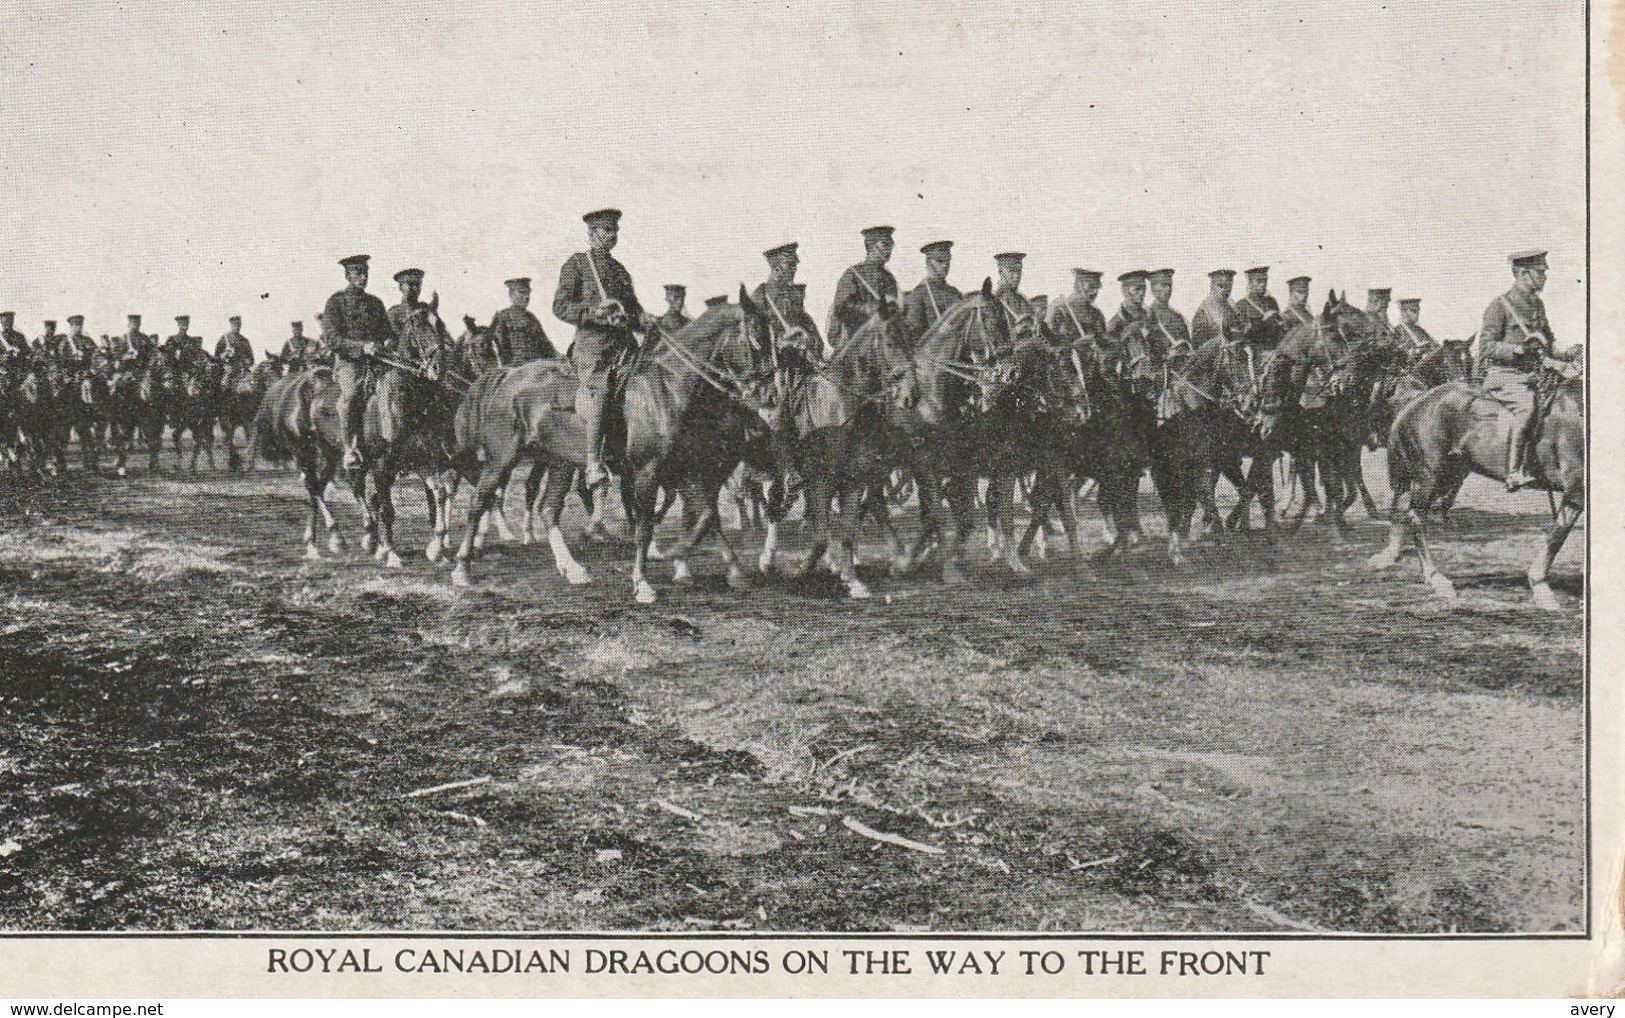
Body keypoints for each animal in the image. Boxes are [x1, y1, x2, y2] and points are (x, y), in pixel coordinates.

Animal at [445, 289, 773, 598]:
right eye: (757, 337)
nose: (768, 395)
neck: (668, 388)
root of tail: (507, 375)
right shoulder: (647, 471)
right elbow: (644, 525)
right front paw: (644, 581)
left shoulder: (684, 469)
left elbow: (707, 517)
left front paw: (722, 568)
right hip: (502, 459)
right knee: (479, 502)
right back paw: (462, 568)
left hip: (559, 462)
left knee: (549, 509)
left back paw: (573, 569)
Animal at [1365, 361, 1579, 604]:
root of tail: (1417, 400)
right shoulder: (1576, 487)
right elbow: (1557, 536)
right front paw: (1542, 588)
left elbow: (1558, 534)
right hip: (1429, 475)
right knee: (1416, 517)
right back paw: (1437, 579)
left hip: (1450, 473)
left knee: (1404, 507)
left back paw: (1392, 555)